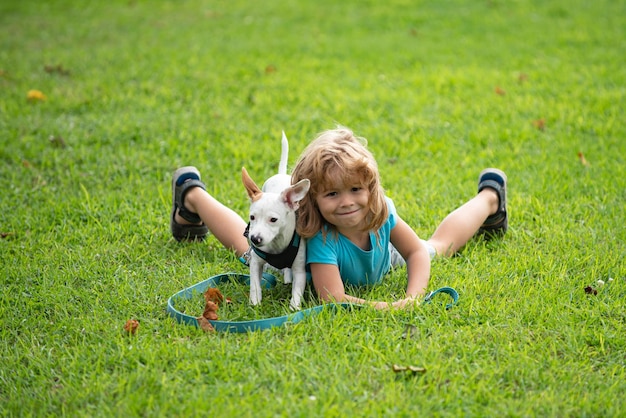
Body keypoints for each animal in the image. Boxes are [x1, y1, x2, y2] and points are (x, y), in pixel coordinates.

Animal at [240, 132, 308, 308]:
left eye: (273, 219)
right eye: (252, 217)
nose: (255, 239)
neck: (277, 243)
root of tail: (281, 174)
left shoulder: (300, 270)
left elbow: (297, 291)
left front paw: (294, 308)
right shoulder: (255, 262)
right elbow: (255, 284)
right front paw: (255, 304)